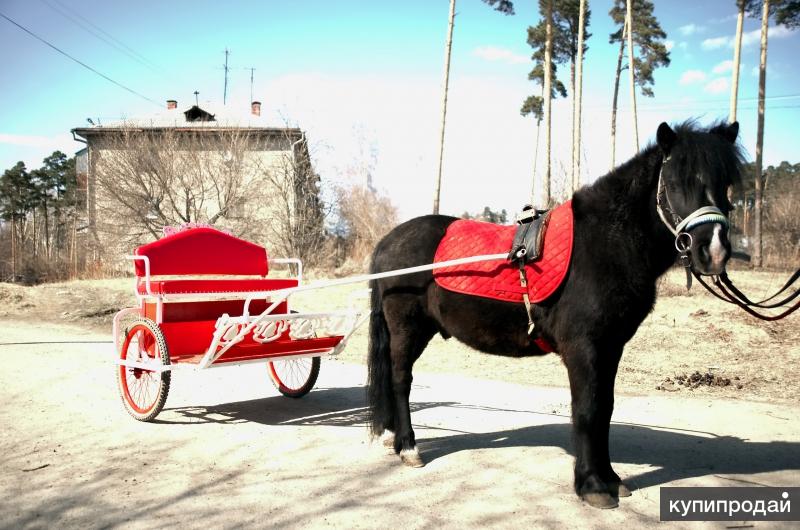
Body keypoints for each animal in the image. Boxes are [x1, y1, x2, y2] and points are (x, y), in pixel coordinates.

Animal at [368, 120, 744, 508]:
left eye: (725, 183)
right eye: (675, 182)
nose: (714, 251)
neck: (604, 243)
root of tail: (387, 242)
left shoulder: (610, 348)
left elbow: (604, 409)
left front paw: (610, 478)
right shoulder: (584, 348)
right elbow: (587, 410)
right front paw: (592, 485)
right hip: (407, 330)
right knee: (401, 381)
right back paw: (408, 447)